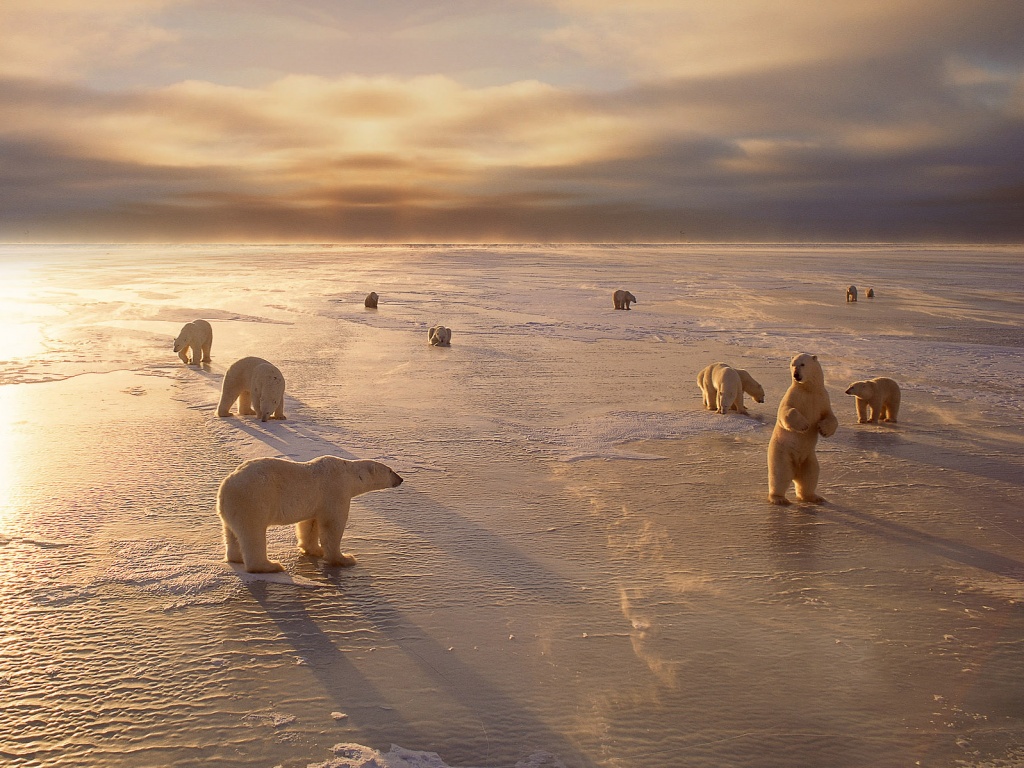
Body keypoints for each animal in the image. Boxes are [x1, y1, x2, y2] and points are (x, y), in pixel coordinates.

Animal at [217, 456, 403, 573]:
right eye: (390, 471)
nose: (400, 479)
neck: (349, 473)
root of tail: (225, 487)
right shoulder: (336, 490)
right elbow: (332, 526)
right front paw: (345, 558)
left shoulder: (315, 502)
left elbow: (310, 524)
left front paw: (315, 550)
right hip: (253, 501)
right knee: (253, 534)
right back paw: (271, 566)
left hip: (232, 509)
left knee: (231, 533)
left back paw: (235, 558)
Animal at [770, 354, 839, 507]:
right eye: (792, 364)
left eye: (802, 364)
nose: (796, 375)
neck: (809, 389)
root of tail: (795, 471)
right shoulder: (793, 395)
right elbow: (786, 411)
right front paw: (804, 425)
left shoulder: (822, 398)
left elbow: (830, 416)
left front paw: (823, 429)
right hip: (782, 454)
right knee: (780, 474)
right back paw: (779, 498)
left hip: (809, 458)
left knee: (810, 475)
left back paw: (814, 497)